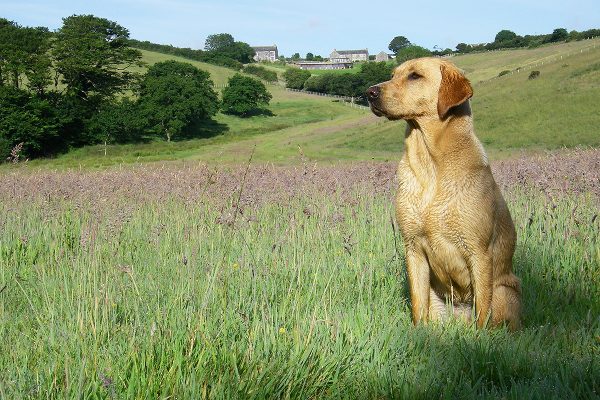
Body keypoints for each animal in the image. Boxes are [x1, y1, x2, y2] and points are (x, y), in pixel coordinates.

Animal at [366, 57, 520, 332]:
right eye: (393, 75)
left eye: (415, 76)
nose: (369, 92)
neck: (431, 165)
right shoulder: (413, 248)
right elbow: (418, 305)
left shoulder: (479, 252)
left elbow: (483, 310)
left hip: (504, 292)